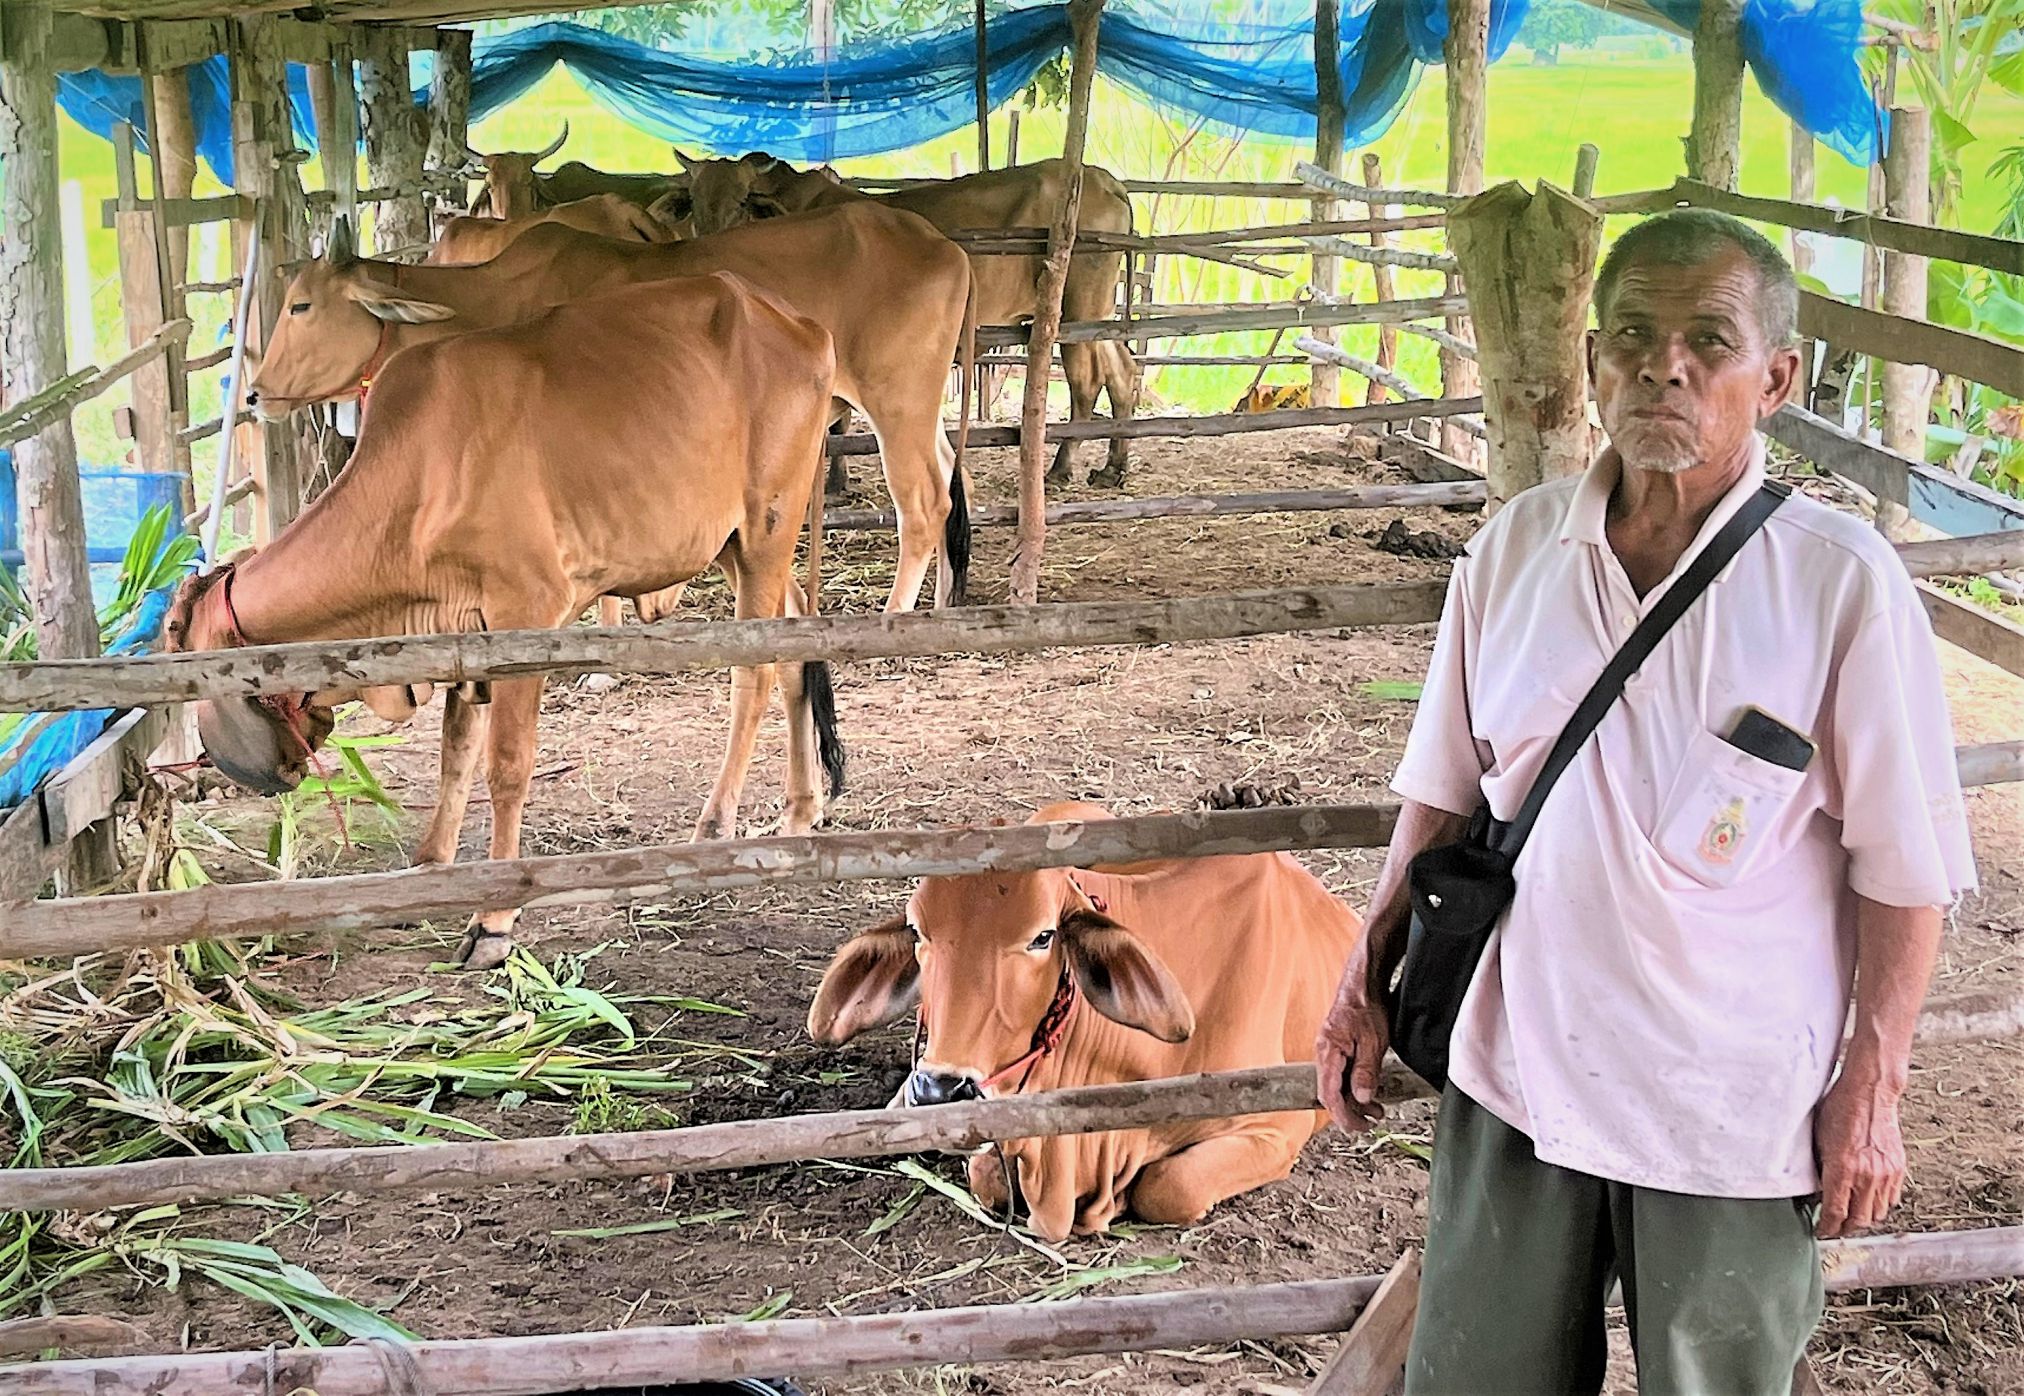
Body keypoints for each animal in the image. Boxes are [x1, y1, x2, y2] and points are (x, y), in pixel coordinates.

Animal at [169, 273, 843, 972]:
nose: (227, 765)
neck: (419, 479)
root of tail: (794, 321)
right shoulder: (460, 634)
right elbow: (455, 752)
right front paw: (430, 868)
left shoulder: (525, 613)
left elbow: (507, 766)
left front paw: (494, 917)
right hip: (735, 545)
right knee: (796, 652)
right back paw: (802, 810)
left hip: (767, 526)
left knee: (754, 677)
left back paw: (715, 826)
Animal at [248, 204, 975, 611]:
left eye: (301, 304)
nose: (255, 392)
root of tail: (947, 244)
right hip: (918, 409)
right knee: (948, 474)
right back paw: (943, 596)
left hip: (896, 401)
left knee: (922, 502)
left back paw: (895, 612)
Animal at [672, 153, 1140, 489]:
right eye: (694, 201)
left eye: (741, 201)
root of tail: (1106, 180)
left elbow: (837, 421)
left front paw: (836, 482)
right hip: (1099, 309)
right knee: (1123, 371)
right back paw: (1112, 467)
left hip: (1077, 306)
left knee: (1085, 378)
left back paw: (1061, 468)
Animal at [806, 801, 1364, 1241]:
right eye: (917, 931)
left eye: (1043, 937)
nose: (940, 1091)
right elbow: (987, 1174)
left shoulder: (1279, 1121)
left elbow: (1169, 1187)